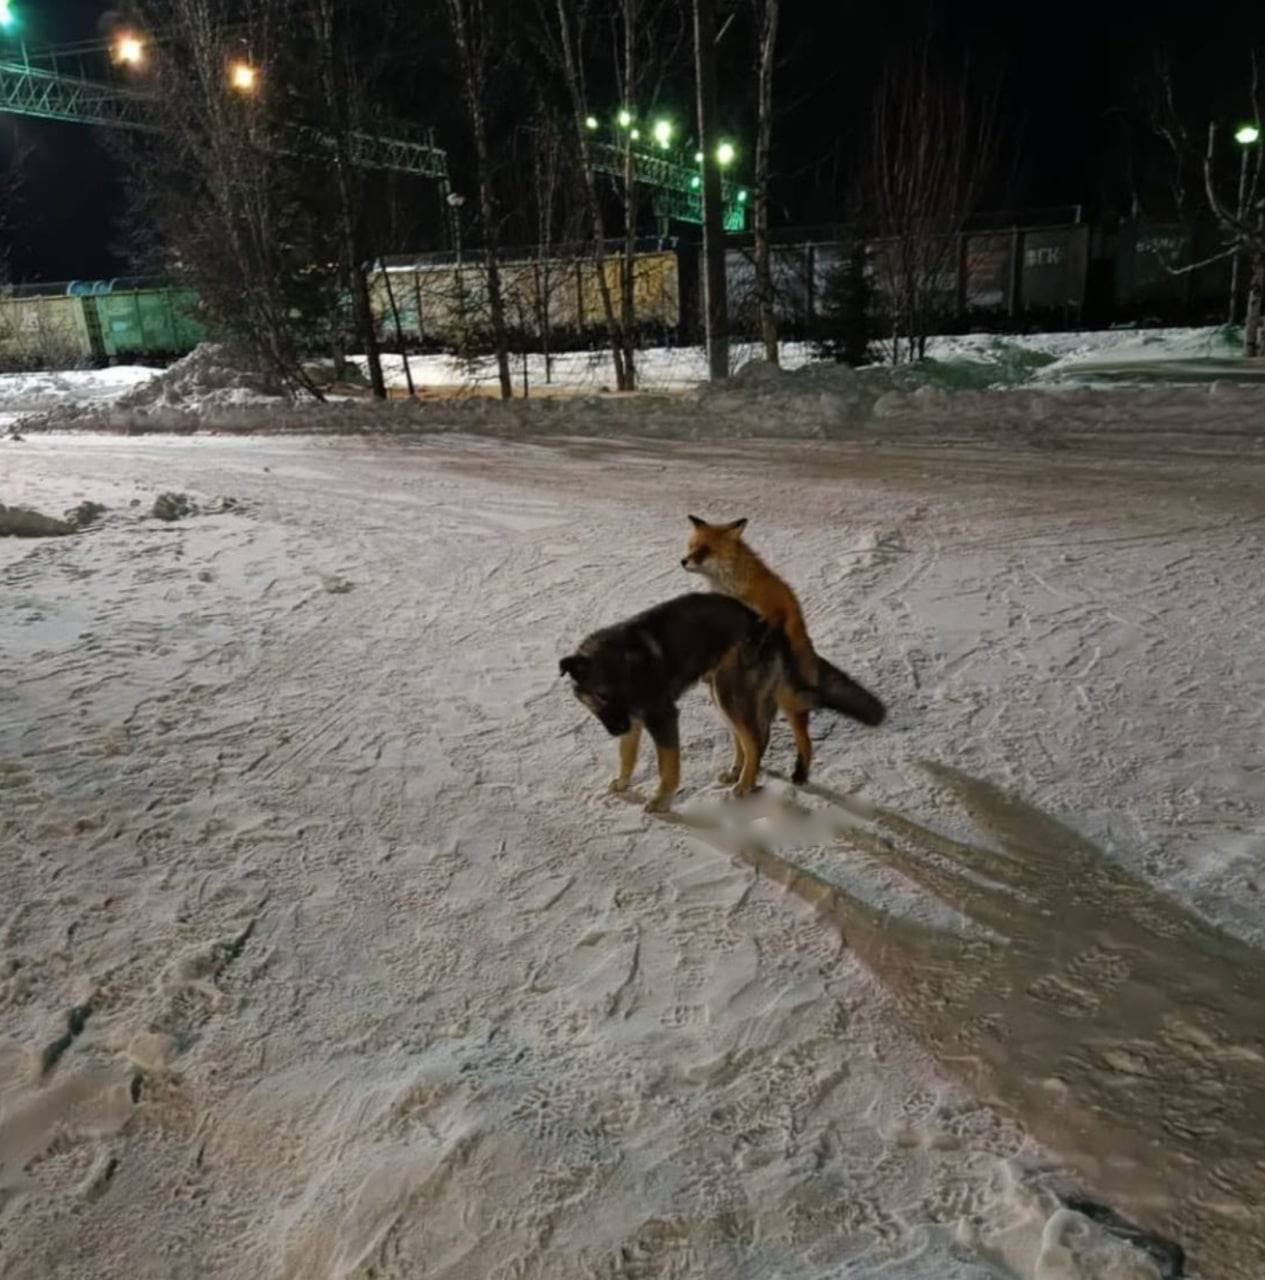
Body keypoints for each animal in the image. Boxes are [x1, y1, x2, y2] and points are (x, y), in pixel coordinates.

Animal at [681, 512, 880, 778]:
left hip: (789, 704)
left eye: (705, 550)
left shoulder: (776, 610)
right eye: (691, 547)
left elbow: (767, 627)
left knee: (802, 739)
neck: (730, 584)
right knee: (756, 738)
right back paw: (741, 768)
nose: (683, 561)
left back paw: (799, 773)